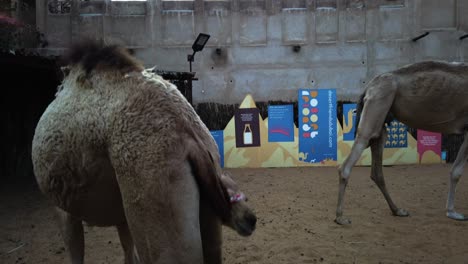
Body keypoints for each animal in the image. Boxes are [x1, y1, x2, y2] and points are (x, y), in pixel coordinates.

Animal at [31, 40, 256, 262]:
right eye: (230, 194)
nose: (251, 219)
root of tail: (189, 136)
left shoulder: (63, 206)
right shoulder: (119, 212)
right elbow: (128, 249)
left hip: (153, 196)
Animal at [336, 60, 468, 225]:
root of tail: (369, 85)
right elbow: (456, 171)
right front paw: (452, 212)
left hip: (382, 114)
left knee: (376, 168)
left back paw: (397, 210)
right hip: (378, 101)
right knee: (353, 155)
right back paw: (340, 217)